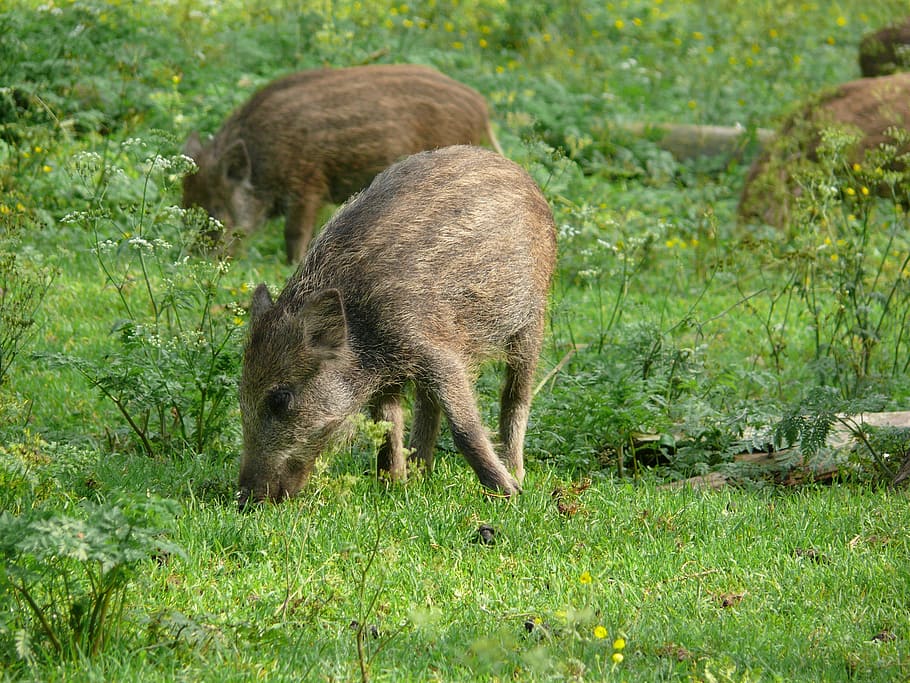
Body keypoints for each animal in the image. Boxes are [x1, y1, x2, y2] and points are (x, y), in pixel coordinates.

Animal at [181, 64, 504, 263]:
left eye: (215, 212)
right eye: (185, 208)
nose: (195, 261)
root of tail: (481, 108)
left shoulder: (307, 186)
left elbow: (295, 234)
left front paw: (292, 264)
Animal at [237, 145, 556, 507]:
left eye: (280, 399)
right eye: (241, 394)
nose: (244, 499)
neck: (360, 329)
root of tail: (521, 174)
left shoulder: (439, 353)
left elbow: (464, 428)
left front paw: (508, 494)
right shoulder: (391, 374)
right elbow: (387, 426)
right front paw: (392, 486)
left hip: (532, 318)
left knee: (516, 394)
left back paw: (515, 472)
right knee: (427, 406)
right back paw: (420, 474)